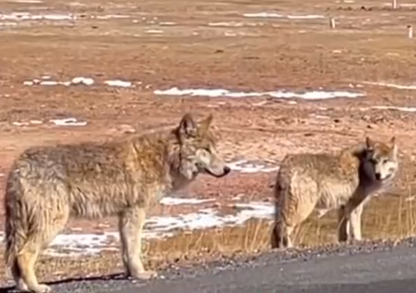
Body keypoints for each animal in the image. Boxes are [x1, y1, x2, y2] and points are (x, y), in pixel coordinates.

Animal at [3, 112, 231, 292]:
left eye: (215, 149)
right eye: (206, 150)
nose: (227, 169)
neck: (164, 158)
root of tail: (19, 165)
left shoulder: (124, 214)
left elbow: (125, 249)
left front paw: (130, 273)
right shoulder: (136, 211)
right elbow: (134, 247)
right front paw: (141, 274)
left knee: (14, 260)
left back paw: (23, 287)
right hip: (52, 224)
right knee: (23, 255)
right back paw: (37, 288)